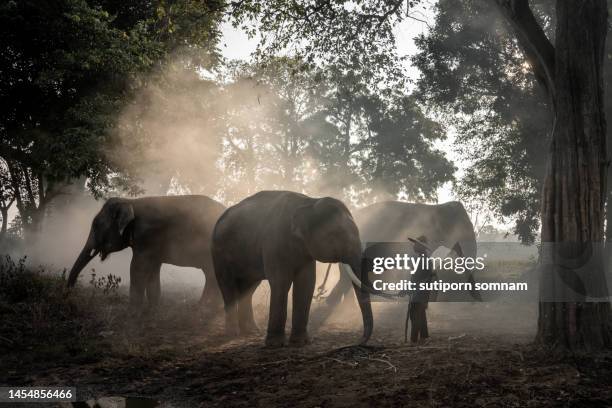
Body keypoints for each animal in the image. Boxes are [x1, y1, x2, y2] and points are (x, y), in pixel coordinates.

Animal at [65, 195, 227, 310]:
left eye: (96, 225)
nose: (70, 296)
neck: (131, 202)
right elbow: (153, 269)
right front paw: (153, 308)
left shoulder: (146, 236)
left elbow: (137, 268)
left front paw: (132, 312)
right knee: (211, 274)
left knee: (212, 274)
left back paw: (203, 308)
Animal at [210, 191, 372, 348]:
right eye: (336, 234)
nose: (359, 341)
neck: (310, 202)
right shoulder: (274, 242)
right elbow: (280, 282)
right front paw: (275, 344)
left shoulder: (306, 251)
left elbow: (306, 283)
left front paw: (301, 342)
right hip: (219, 252)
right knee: (227, 286)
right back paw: (233, 333)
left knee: (248, 289)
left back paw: (251, 331)